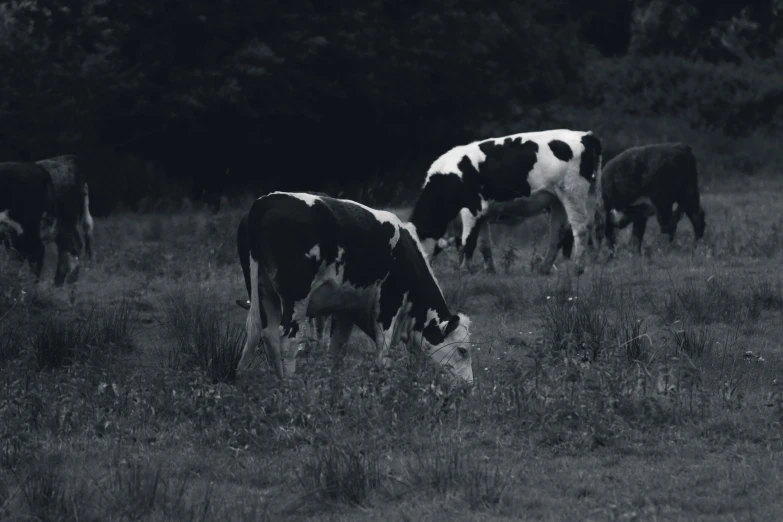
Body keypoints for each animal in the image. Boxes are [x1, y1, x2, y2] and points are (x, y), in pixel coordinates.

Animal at [237, 191, 472, 382]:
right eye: (462, 351)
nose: (468, 387)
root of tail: (265, 201)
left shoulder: (346, 309)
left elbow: (336, 350)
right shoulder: (389, 303)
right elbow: (384, 351)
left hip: (262, 291)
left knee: (262, 332)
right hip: (296, 296)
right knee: (287, 338)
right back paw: (289, 384)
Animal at [408, 128, 604, 274]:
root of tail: (585, 135)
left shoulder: (472, 210)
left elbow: (468, 242)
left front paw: (465, 270)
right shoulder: (481, 214)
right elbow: (484, 244)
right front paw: (489, 270)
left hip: (572, 193)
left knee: (580, 229)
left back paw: (577, 268)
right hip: (556, 200)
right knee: (558, 233)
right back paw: (544, 268)